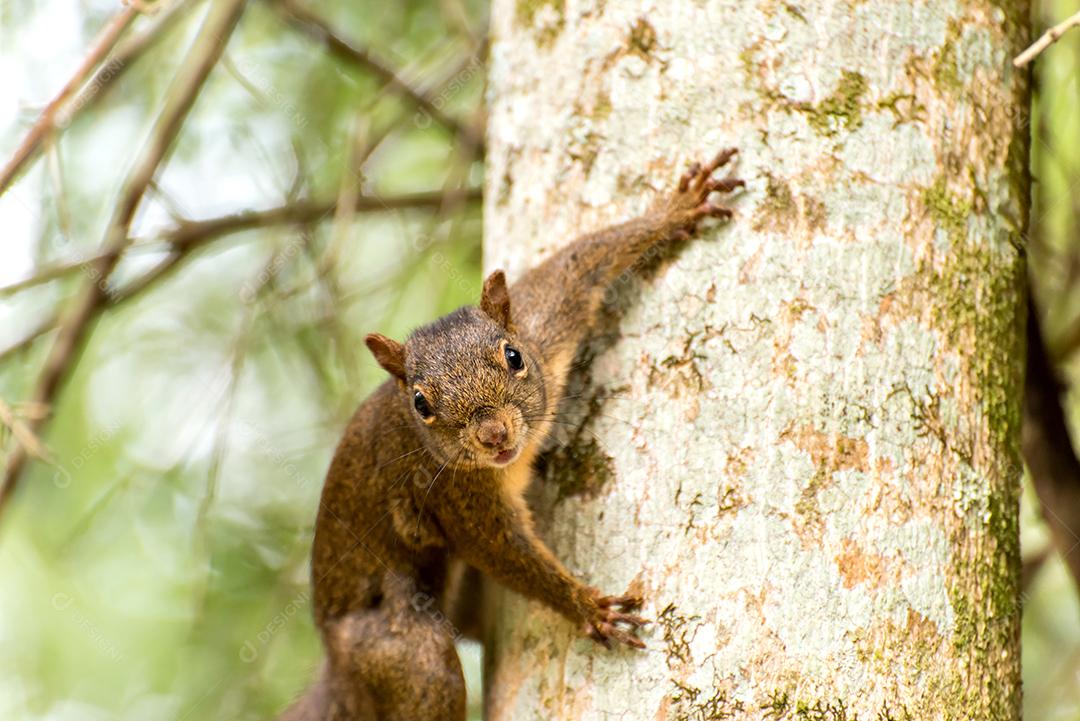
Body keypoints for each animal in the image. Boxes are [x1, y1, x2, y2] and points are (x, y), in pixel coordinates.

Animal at [280, 147, 743, 721]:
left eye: (514, 355)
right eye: (420, 404)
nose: (493, 436)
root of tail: (337, 669)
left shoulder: (545, 320)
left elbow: (578, 263)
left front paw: (673, 209)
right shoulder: (454, 492)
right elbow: (502, 553)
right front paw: (585, 606)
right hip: (395, 649)